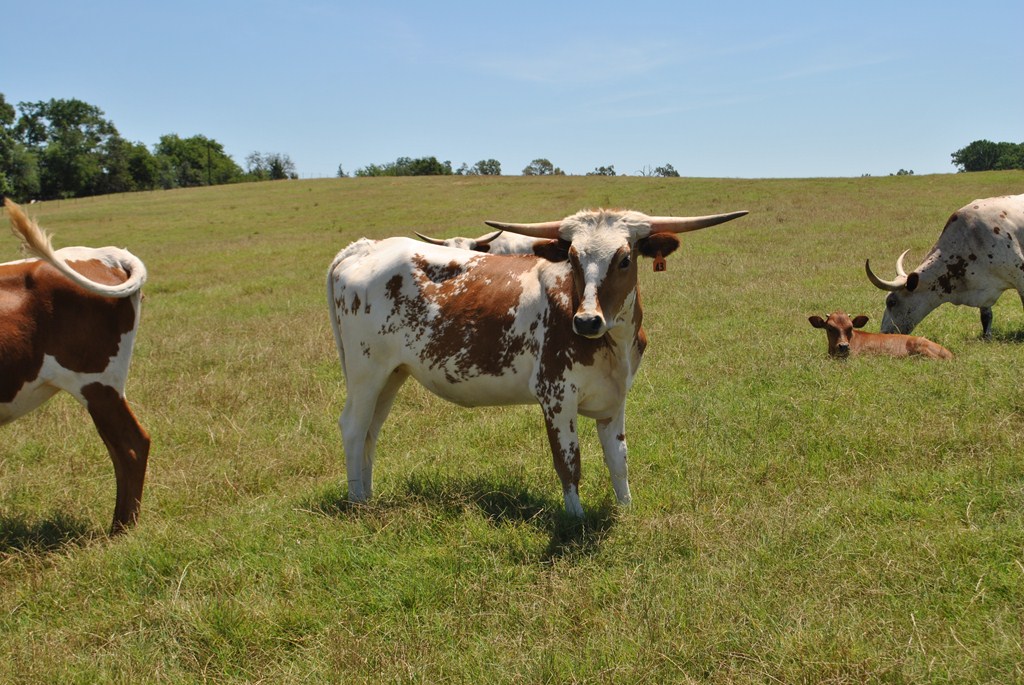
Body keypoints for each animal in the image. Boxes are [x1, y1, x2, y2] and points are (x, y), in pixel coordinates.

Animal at [327, 207, 748, 516]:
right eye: (573, 258)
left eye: (625, 259)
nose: (587, 321)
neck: (612, 343)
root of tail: (363, 248)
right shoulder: (556, 397)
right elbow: (569, 461)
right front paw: (575, 519)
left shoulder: (617, 398)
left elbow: (619, 458)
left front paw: (626, 509)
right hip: (366, 372)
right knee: (353, 427)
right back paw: (357, 502)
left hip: (391, 374)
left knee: (371, 430)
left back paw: (368, 495)